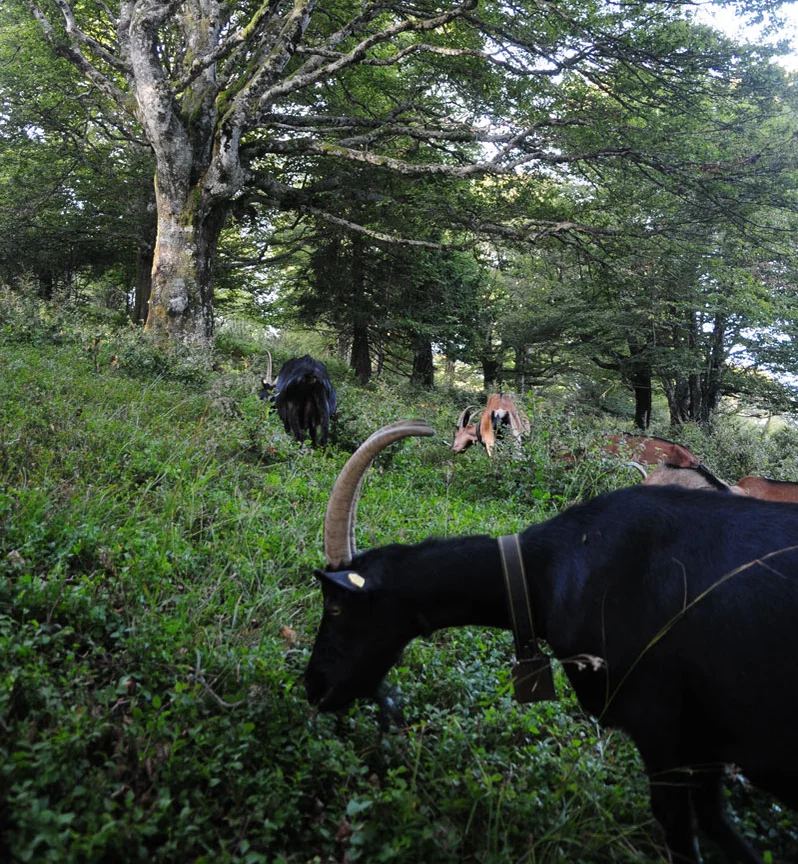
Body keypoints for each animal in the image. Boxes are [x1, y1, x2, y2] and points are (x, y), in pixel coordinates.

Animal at [306, 420, 798, 864]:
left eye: (336, 606)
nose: (314, 687)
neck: (549, 571)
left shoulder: (660, 729)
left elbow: (679, 828)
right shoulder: (703, 743)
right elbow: (717, 823)